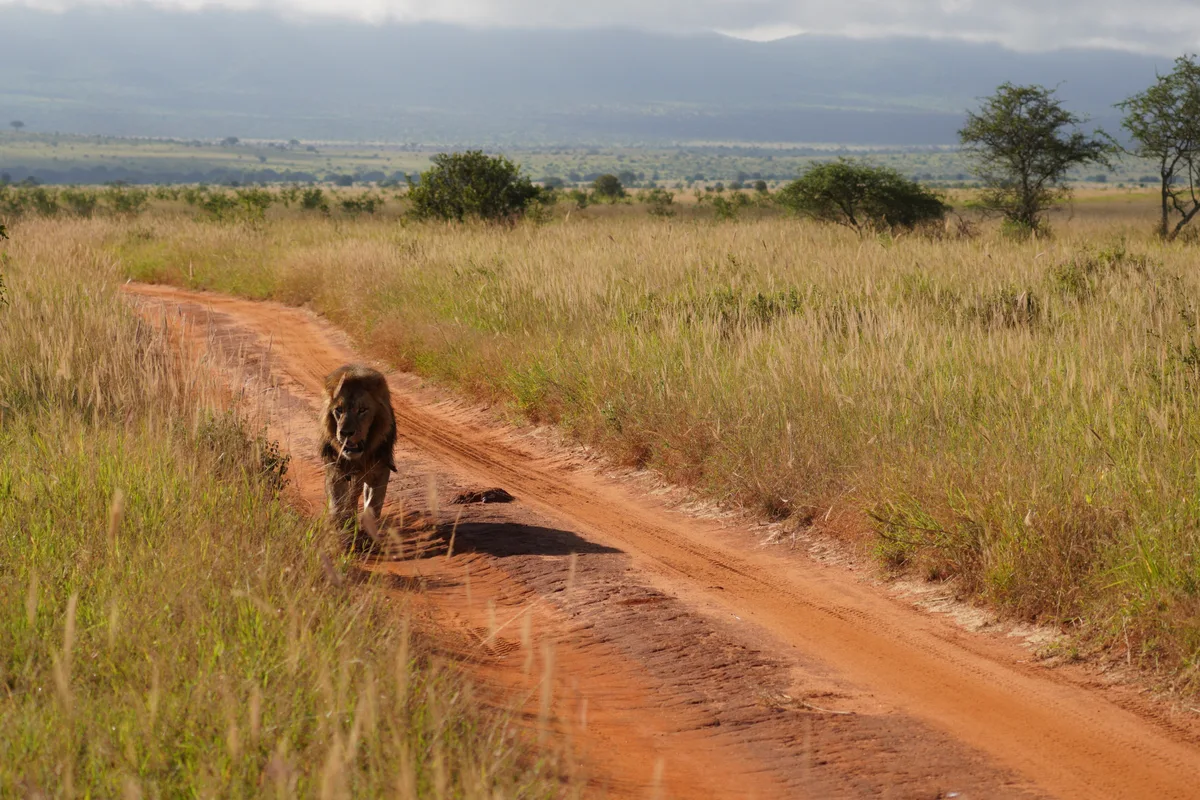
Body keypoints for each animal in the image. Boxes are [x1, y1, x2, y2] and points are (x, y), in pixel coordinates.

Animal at [319, 364, 397, 546]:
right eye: (339, 410)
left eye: (362, 410)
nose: (346, 433)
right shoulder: (335, 470)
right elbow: (337, 505)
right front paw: (342, 533)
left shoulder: (380, 471)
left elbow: (373, 506)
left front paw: (366, 536)